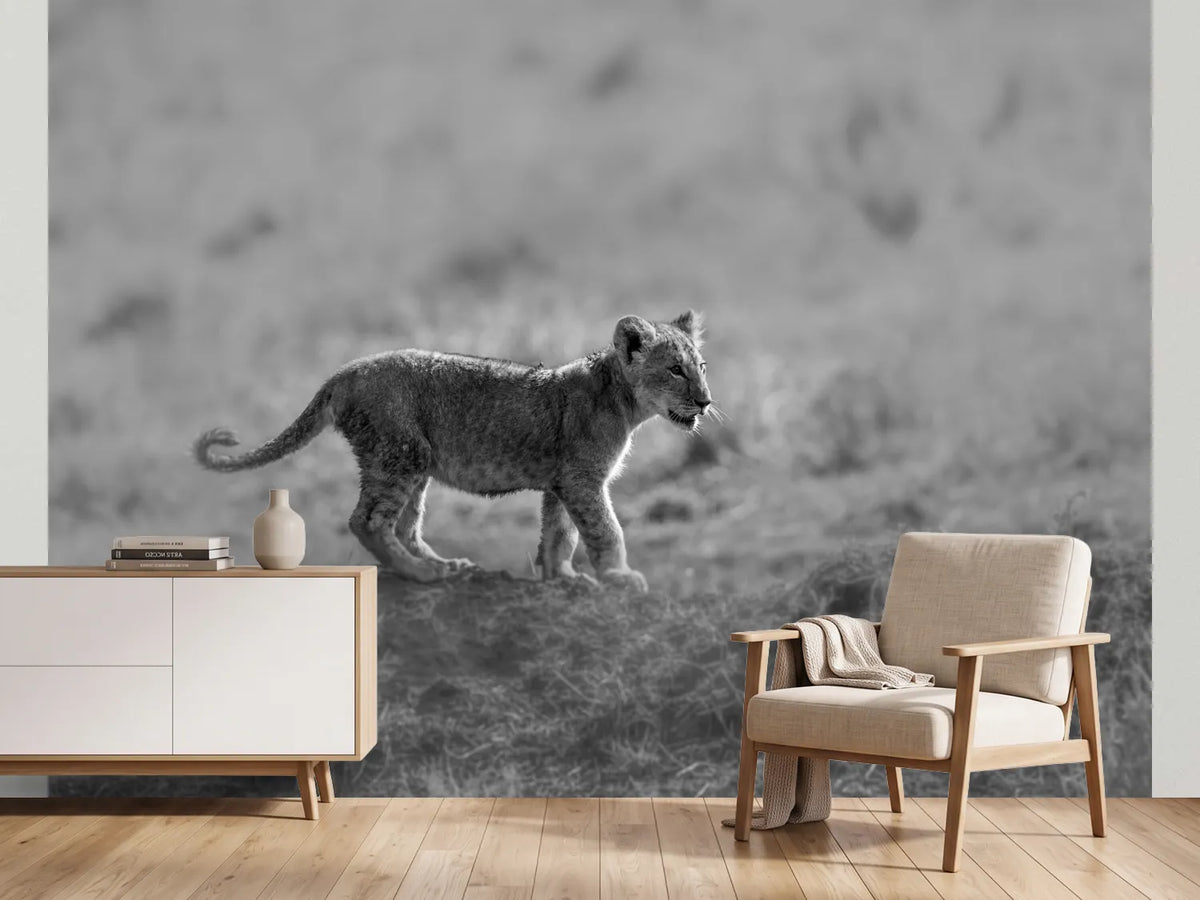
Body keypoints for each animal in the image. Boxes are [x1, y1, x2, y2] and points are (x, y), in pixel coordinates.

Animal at [193, 311, 712, 591]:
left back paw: (444, 565)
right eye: (675, 370)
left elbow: (559, 533)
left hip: (413, 461)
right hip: (399, 453)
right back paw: (422, 575)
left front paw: (562, 577)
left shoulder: (561, 482)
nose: (706, 401)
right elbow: (605, 530)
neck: (625, 402)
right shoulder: (583, 479)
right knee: (368, 521)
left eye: (702, 366)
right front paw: (621, 577)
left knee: (405, 524)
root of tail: (342, 373)